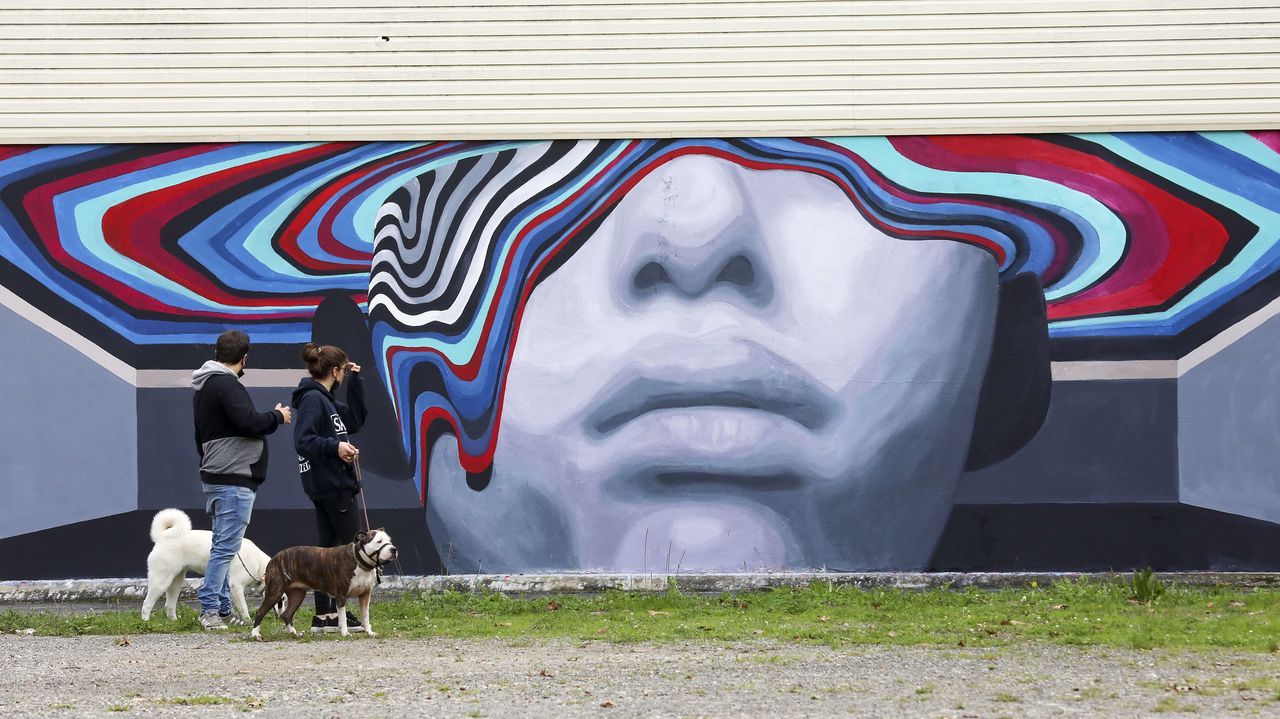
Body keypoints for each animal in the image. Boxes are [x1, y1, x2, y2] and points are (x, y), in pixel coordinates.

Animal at [142, 506, 275, 619]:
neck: (261, 567)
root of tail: (163, 537)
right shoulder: (235, 586)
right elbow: (244, 608)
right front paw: (248, 622)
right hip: (161, 581)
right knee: (147, 604)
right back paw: (145, 621)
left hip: (175, 582)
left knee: (169, 605)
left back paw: (173, 622)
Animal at [247, 524, 391, 634]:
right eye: (379, 542)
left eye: (389, 540)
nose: (393, 549)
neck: (359, 561)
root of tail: (274, 558)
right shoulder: (341, 597)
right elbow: (342, 618)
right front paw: (345, 633)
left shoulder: (365, 596)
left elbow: (366, 617)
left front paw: (369, 632)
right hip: (275, 592)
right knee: (260, 612)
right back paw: (255, 634)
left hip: (297, 594)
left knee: (287, 614)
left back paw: (293, 633)